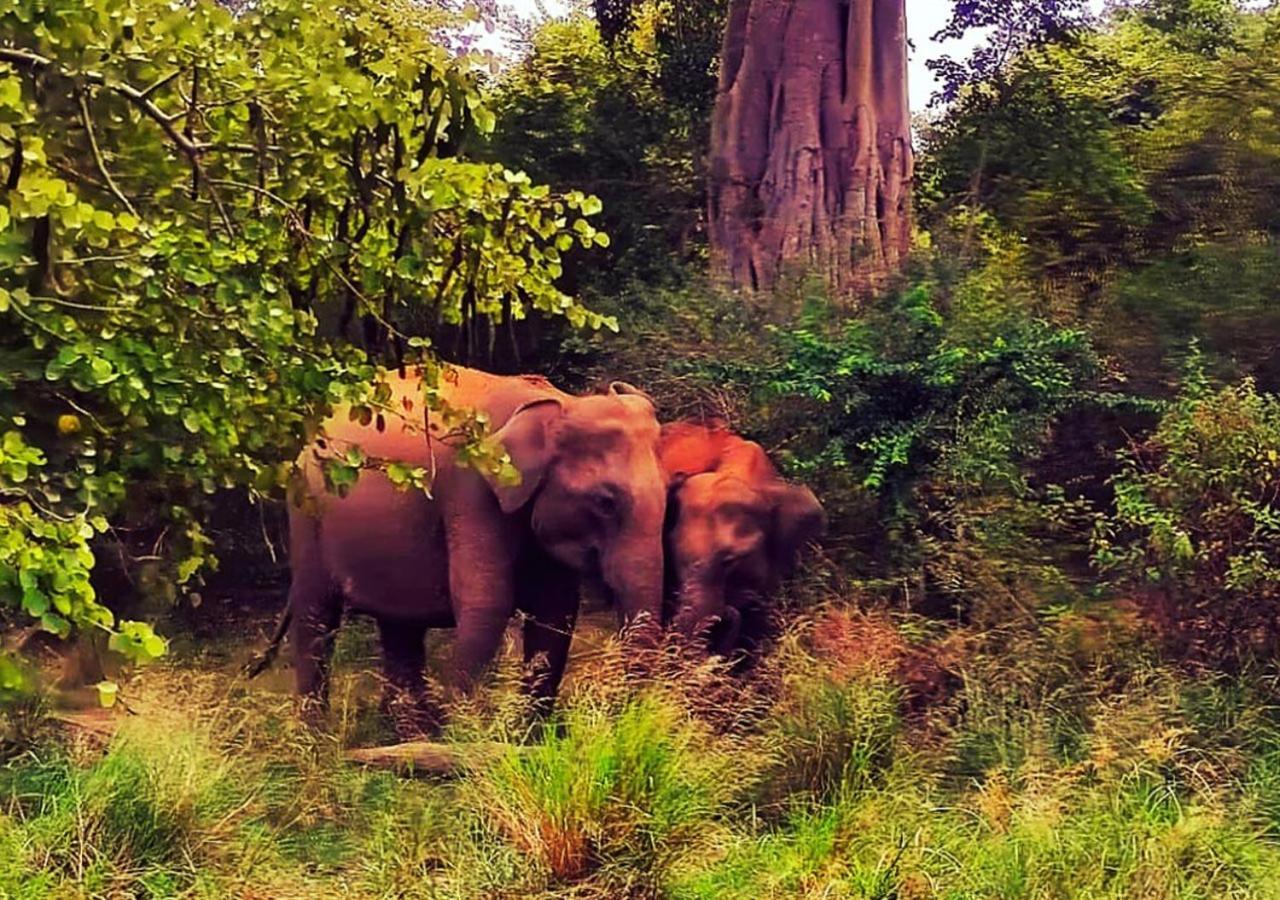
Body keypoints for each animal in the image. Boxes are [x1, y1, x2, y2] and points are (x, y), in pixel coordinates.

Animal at [286, 366, 670, 732]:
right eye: (605, 502)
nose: (621, 716)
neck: (559, 403)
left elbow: (556, 612)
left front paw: (529, 735)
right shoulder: (470, 488)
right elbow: (486, 600)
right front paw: (466, 736)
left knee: (399, 624)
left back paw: (410, 733)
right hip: (306, 512)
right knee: (315, 616)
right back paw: (315, 738)